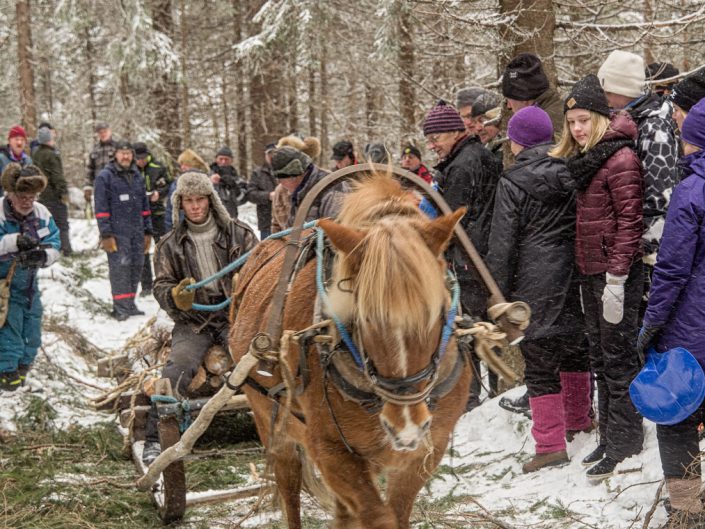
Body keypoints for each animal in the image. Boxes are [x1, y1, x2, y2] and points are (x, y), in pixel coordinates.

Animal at [231, 174, 470, 528]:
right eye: (364, 317)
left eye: (439, 311)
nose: (406, 427)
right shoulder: (330, 451)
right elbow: (378, 517)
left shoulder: (426, 451)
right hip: (271, 423)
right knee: (289, 487)